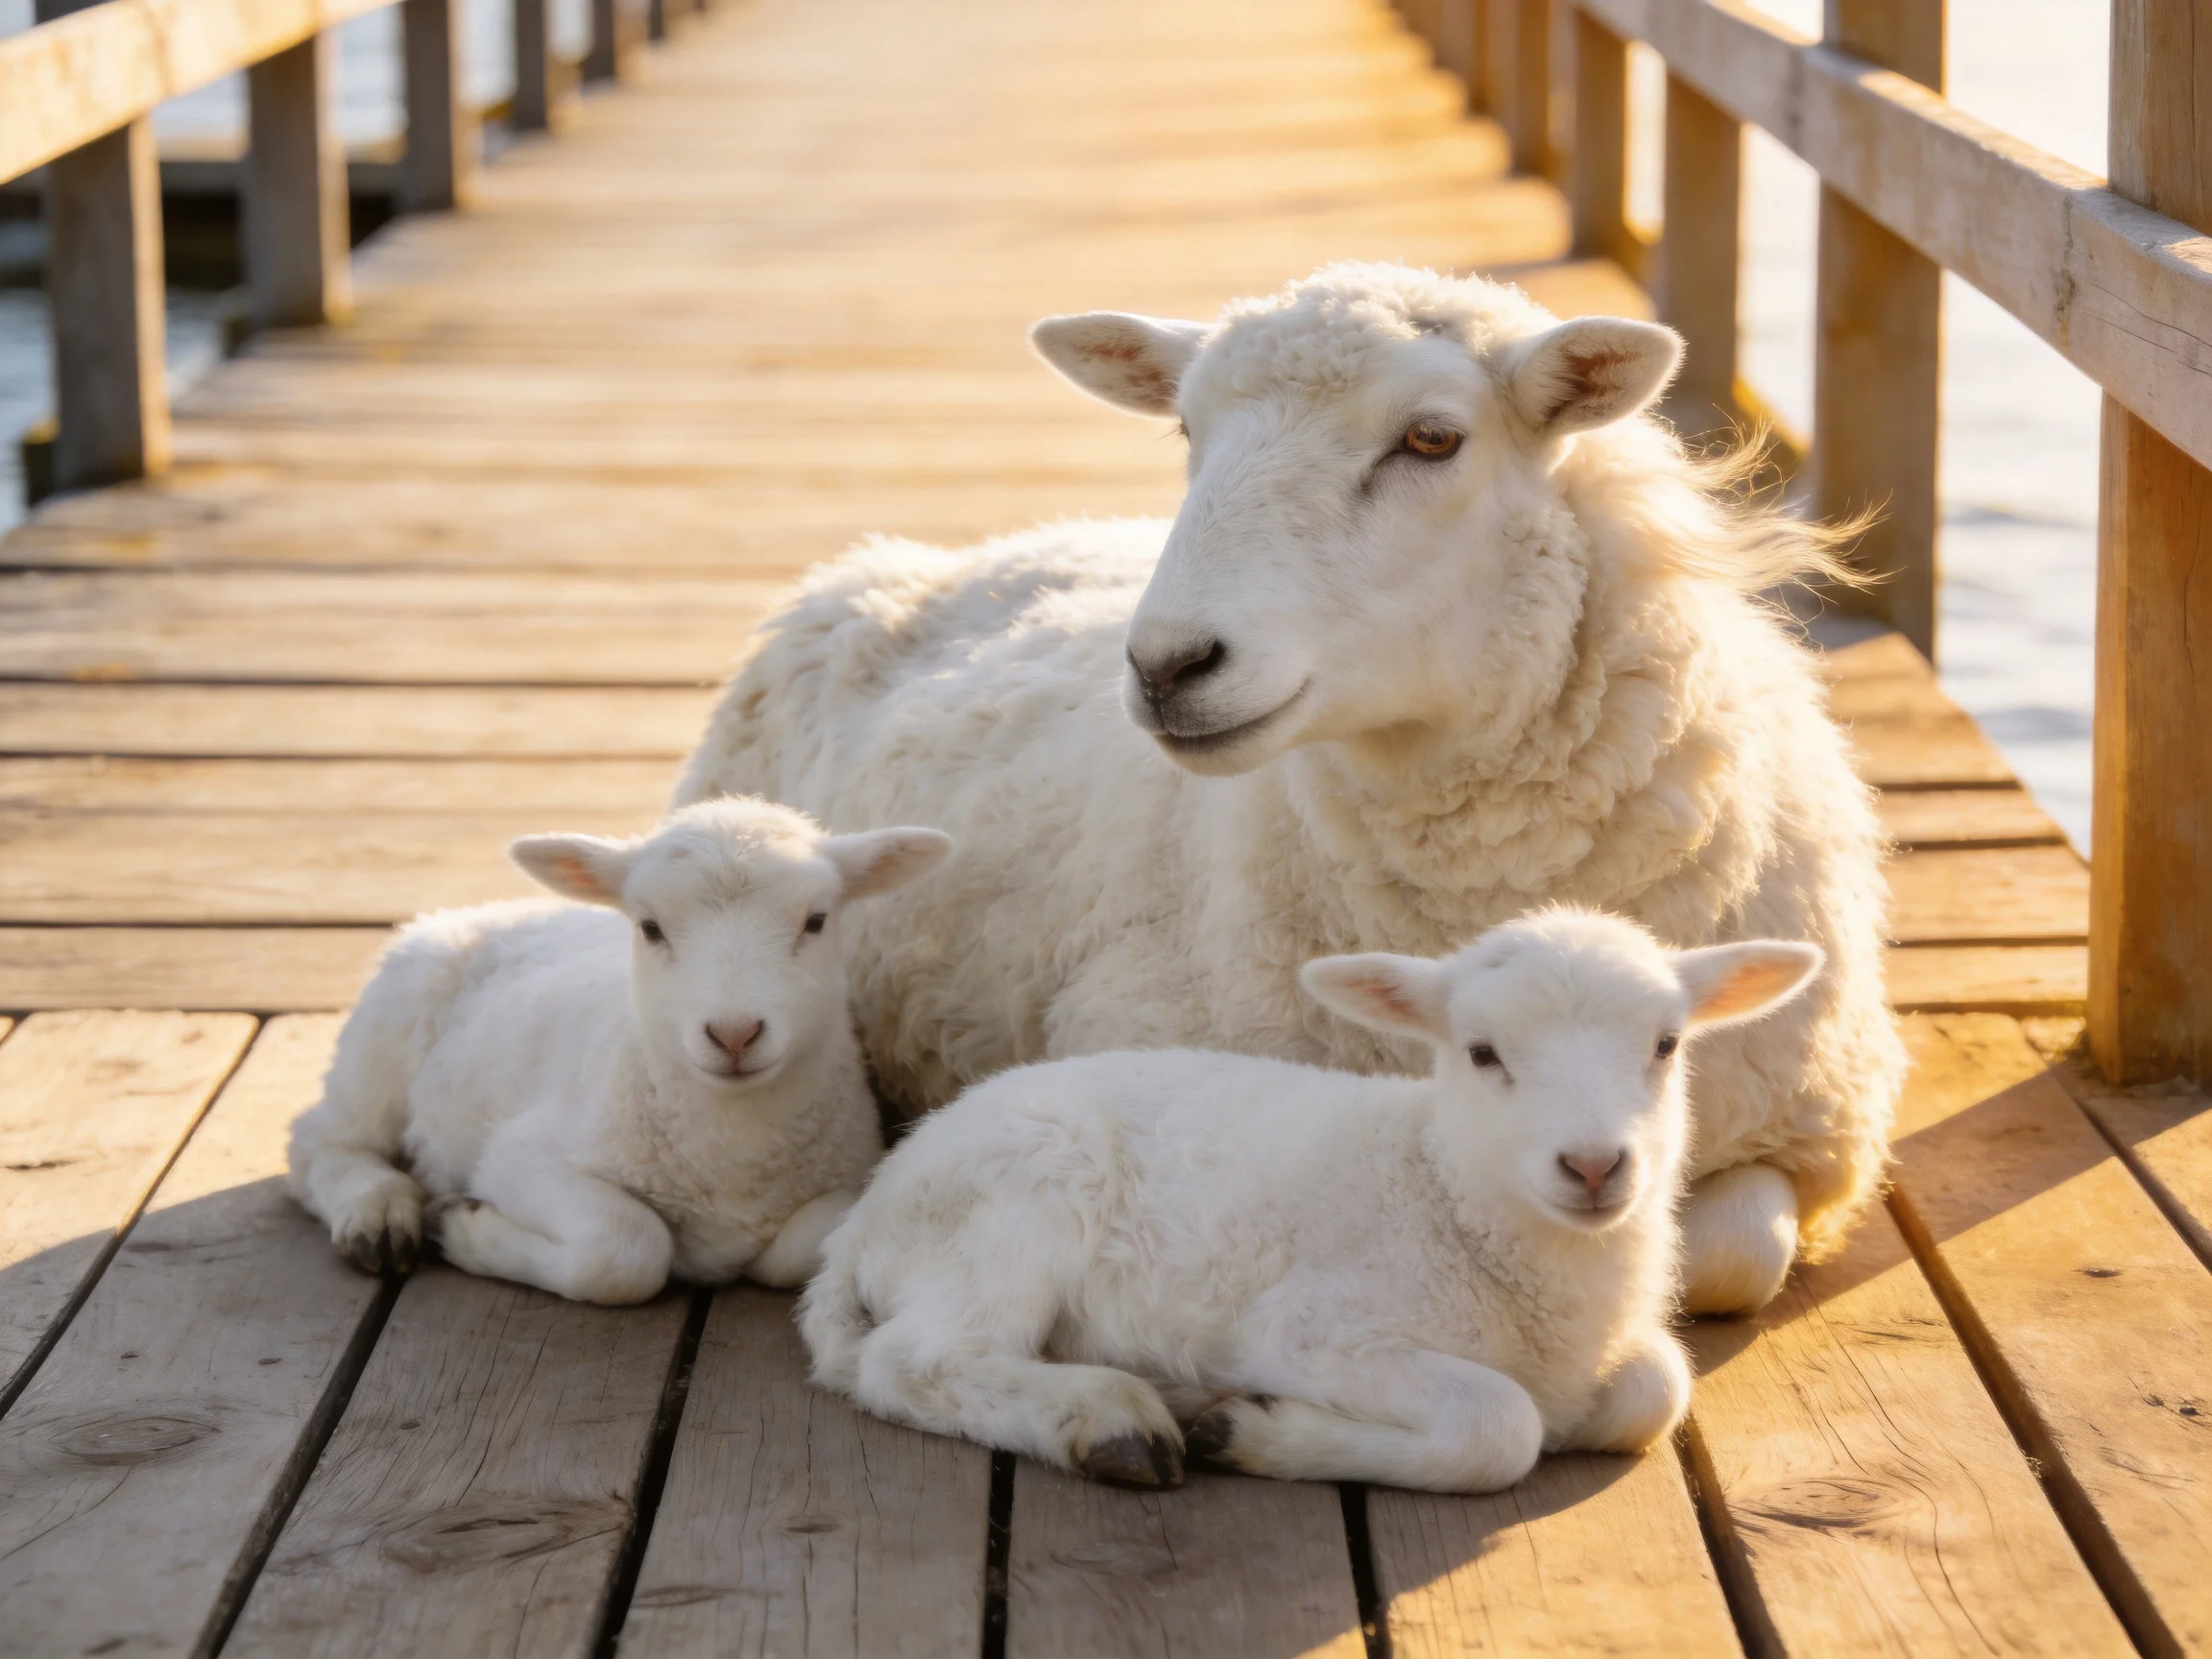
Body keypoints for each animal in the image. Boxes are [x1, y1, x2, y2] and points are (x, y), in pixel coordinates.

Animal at [286, 797, 952, 1305]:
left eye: (816, 921)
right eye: (650, 927)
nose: (734, 1034)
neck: (733, 1149)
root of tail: (496, 908)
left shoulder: (853, 1171)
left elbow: (799, 1252)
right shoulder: (521, 1158)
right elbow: (624, 1251)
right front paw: (460, 1227)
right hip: (384, 1036)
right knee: (320, 1141)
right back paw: (377, 1214)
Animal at [676, 261, 1906, 1315]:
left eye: (1432, 438)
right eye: (1186, 428)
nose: (1167, 665)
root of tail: (983, 546)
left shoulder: (1806, 1129)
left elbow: (1729, 1256)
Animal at [802, 911, 1822, 1492]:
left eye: (1666, 1044)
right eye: (1482, 1052)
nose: (1595, 1166)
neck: (1443, 1195)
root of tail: (864, 1224)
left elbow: (1658, 1388)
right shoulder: (1311, 1329)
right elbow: (1500, 1426)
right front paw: (1252, 1432)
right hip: (1016, 1202)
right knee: (914, 1363)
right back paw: (1111, 1421)